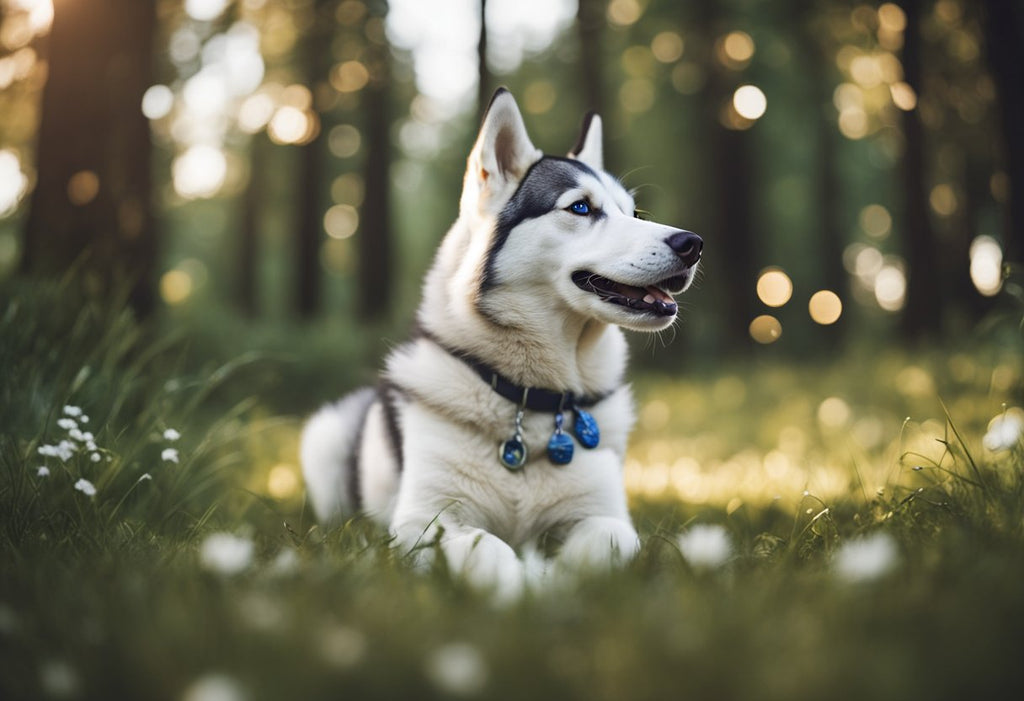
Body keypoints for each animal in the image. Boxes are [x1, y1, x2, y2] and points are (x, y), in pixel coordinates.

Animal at [301, 90, 704, 597]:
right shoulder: (421, 522)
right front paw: (522, 583)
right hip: (325, 442)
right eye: (580, 208)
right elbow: (488, 548)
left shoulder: (610, 519)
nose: (693, 243)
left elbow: (603, 543)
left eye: (632, 213)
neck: (531, 401)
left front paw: (554, 577)